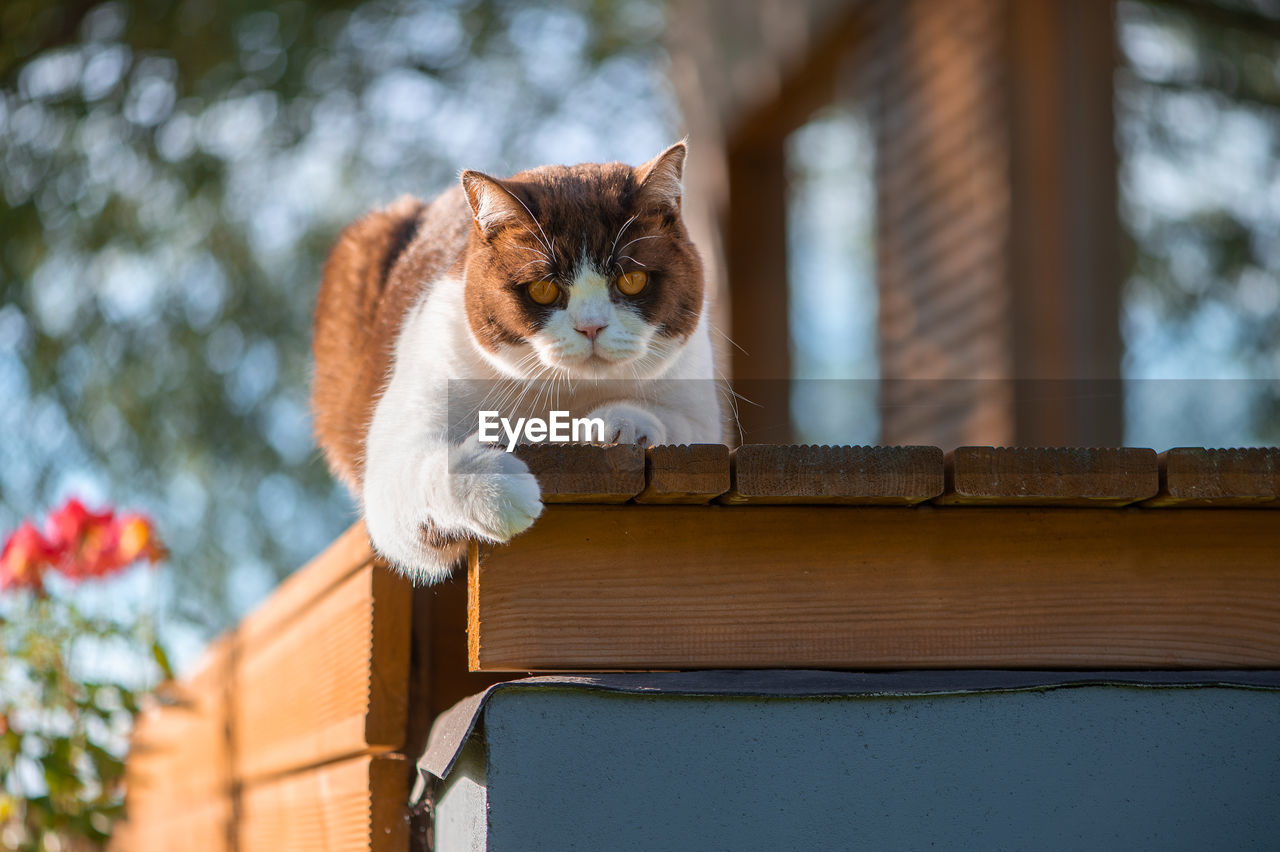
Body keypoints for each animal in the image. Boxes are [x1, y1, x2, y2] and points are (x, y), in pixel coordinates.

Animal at [312, 142, 721, 580]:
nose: (591, 326)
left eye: (631, 280)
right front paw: (500, 493)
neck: (562, 394)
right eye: (543, 289)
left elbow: (680, 426)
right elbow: (409, 472)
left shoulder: (696, 402)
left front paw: (618, 425)